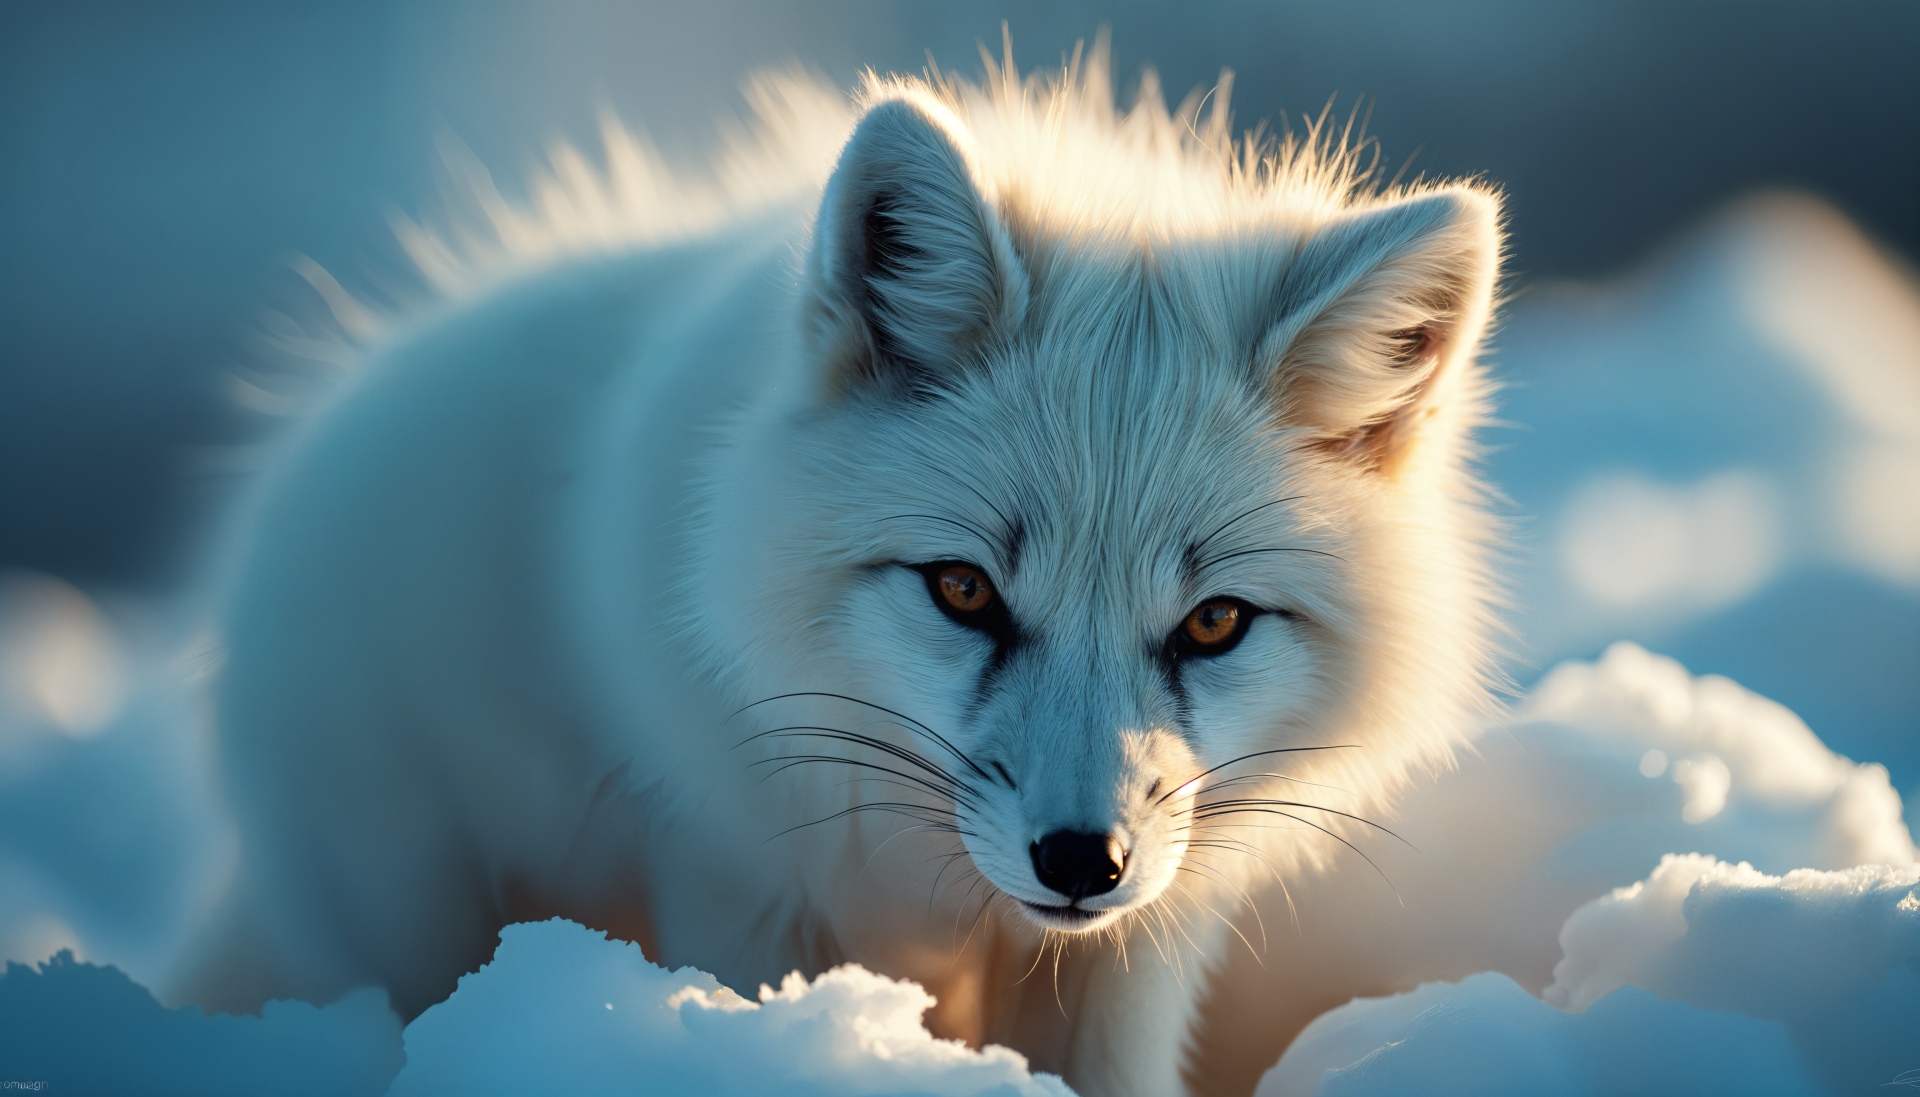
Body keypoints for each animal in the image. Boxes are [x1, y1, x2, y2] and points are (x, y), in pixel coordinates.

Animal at [180, 44, 1503, 1097]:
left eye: (1216, 622)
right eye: (964, 589)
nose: (1083, 860)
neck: (941, 894)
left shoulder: (1136, 949)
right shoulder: (737, 876)